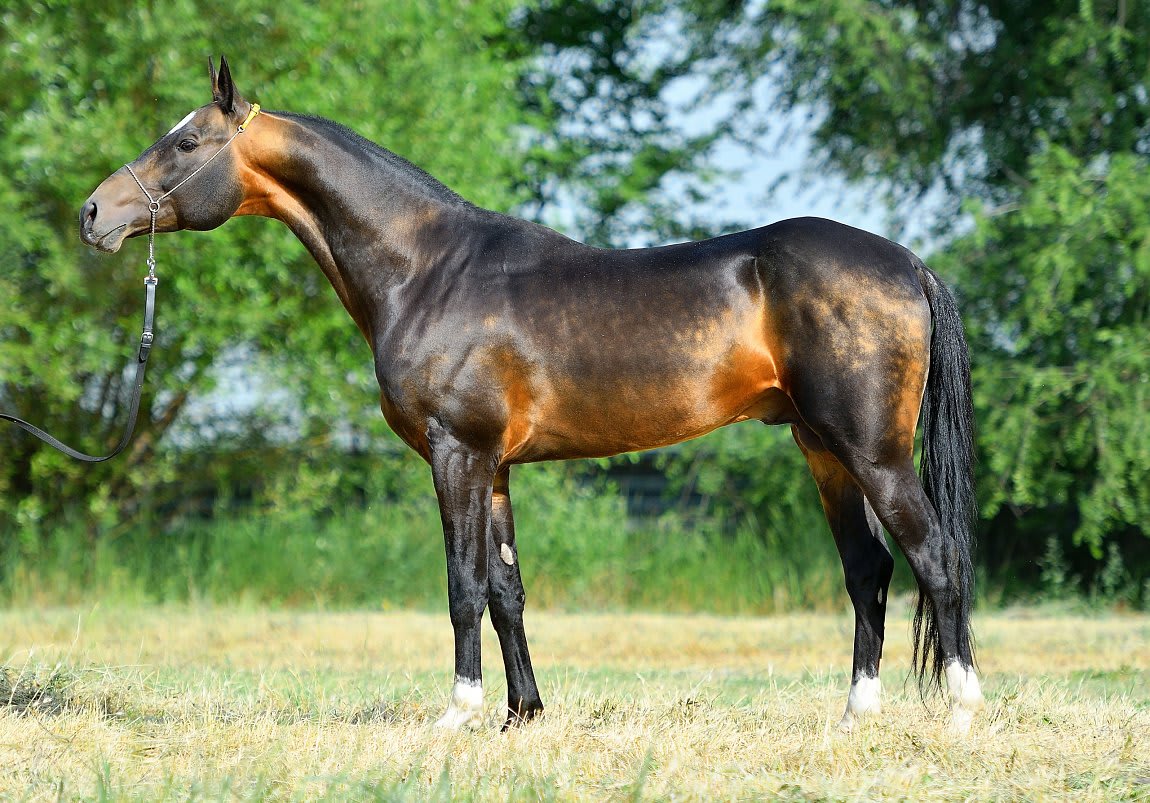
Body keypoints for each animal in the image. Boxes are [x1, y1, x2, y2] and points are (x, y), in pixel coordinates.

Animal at [80, 57, 984, 733]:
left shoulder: (457, 454)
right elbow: (507, 591)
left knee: (935, 557)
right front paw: (523, 713)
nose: (94, 213)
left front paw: (458, 712)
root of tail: (907, 262)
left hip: (872, 452)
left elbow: (462, 585)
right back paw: (856, 714)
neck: (428, 269)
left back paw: (963, 710)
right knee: (867, 570)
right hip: (823, 448)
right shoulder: (498, 467)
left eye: (186, 141)